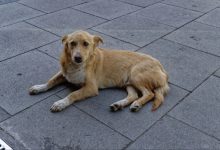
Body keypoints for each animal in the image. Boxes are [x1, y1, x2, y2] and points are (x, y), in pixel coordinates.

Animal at [29, 30, 169, 112]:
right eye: (72, 43)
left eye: (86, 44)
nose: (78, 58)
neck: (76, 66)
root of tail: (162, 67)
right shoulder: (64, 73)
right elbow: (50, 81)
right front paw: (39, 87)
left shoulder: (91, 87)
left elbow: (73, 94)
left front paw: (61, 103)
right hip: (128, 83)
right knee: (133, 95)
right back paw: (120, 104)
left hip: (136, 75)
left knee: (150, 94)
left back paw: (137, 104)